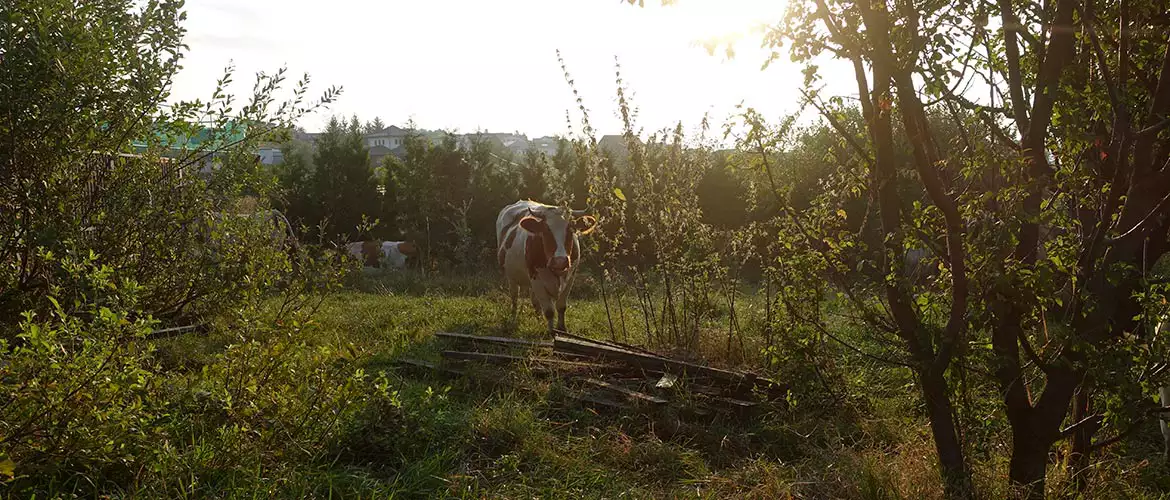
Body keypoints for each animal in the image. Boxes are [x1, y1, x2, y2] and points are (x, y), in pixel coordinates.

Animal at [496, 199, 599, 332]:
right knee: (515, 298)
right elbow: (549, 311)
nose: (560, 261)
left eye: (571, 230)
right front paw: (551, 332)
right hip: (511, 277)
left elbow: (561, 306)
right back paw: (513, 318)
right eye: (546, 231)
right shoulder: (536, 279)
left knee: (534, 301)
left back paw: (539, 320)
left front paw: (561, 329)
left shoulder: (571, 277)